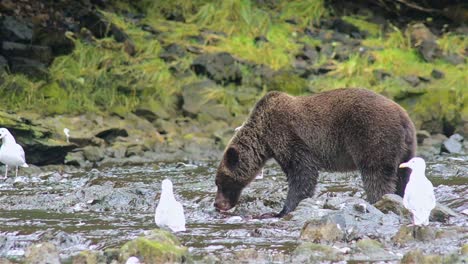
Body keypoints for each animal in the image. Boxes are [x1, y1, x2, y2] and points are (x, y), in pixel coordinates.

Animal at [214, 88, 414, 217]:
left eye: (221, 182)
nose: (217, 204)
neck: (264, 138)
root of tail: (403, 117)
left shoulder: (289, 137)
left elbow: (302, 173)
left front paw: (280, 211)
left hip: (372, 136)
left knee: (376, 174)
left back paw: (378, 201)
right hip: (405, 151)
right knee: (403, 176)